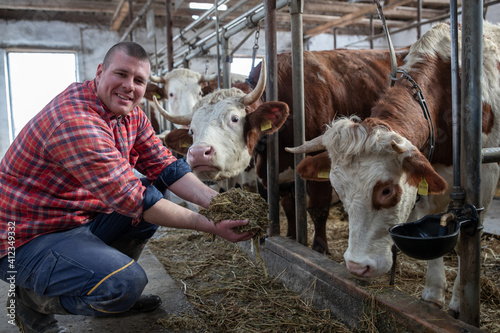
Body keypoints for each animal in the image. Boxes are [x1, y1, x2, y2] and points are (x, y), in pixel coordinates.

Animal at [160, 48, 410, 253]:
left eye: (234, 118)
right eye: (192, 130)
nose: (197, 154)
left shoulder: (317, 162)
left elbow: (318, 209)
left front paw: (319, 247)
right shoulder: (273, 176)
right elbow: (289, 208)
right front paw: (290, 236)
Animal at [286, 21, 500, 314]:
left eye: (386, 191)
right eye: (338, 190)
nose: (357, 267)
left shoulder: (485, 177)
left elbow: (464, 245)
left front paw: (458, 302)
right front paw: (433, 292)